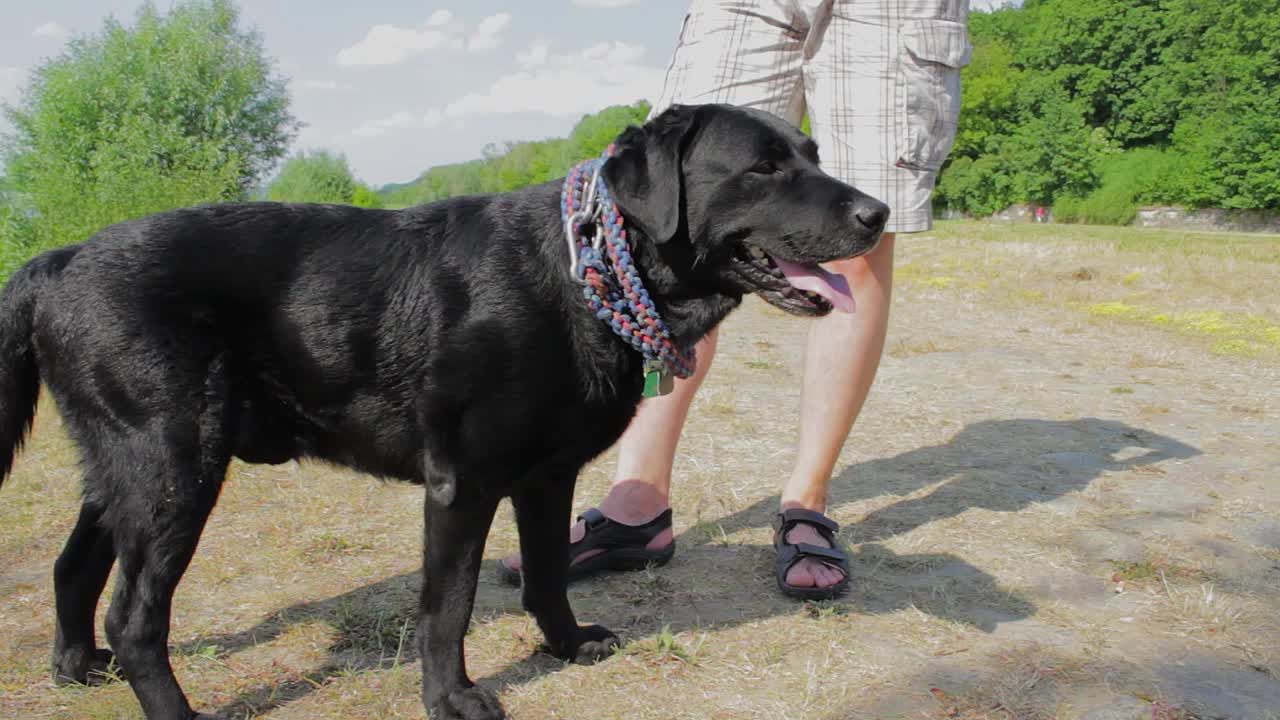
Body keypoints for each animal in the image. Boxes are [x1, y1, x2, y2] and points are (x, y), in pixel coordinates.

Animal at [0, 103, 885, 712]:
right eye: (763, 168)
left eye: (811, 155)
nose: (877, 213)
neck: (581, 273)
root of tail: (55, 259)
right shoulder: (462, 484)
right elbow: (447, 606)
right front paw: (452, 699)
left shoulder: (546, 477)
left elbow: (548, 575)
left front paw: (566, 645)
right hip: (175, 467)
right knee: (136, 615)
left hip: (128, 470)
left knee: (74, 565)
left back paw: (76, 670)